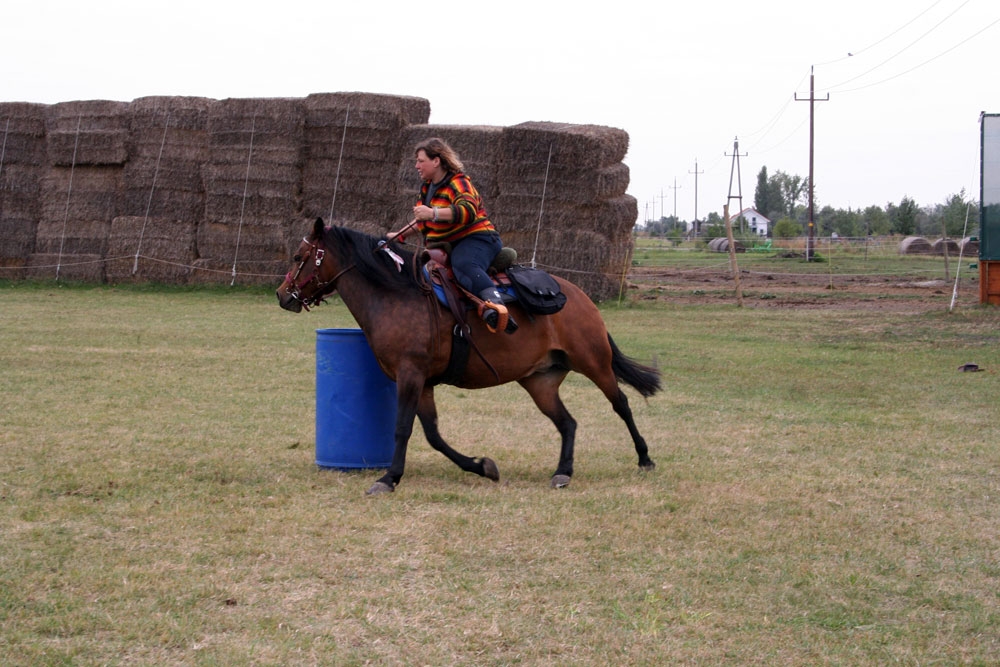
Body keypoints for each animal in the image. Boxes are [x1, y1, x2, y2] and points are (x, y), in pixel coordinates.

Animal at [278, 219, 660, 496]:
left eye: (298, 257)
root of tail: (579, 296)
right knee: (567, 423)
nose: (283, 295)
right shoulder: (423, 383)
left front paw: (388, 478)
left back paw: (644, 458)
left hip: (594, 362)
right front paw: (482, 467)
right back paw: (563, 472)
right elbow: (433, 435)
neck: (396, 295)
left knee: (621, 403)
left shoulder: (410, 375)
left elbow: (403, 428)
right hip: (540, 381)